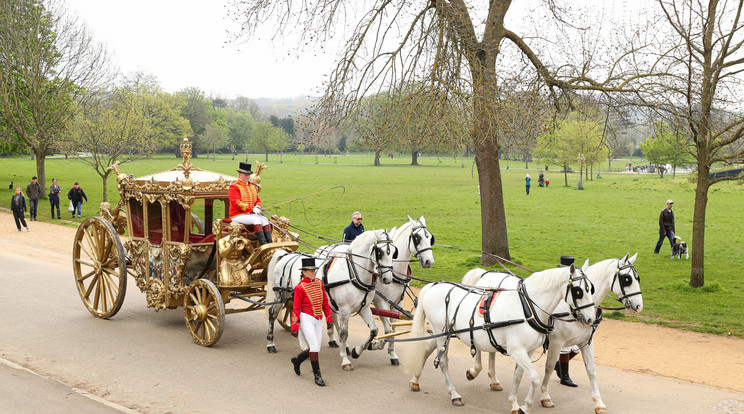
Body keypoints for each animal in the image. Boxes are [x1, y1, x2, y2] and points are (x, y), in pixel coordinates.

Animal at [374, 217, 438, 366]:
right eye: (417, 238)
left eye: (430, 237)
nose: (429, 261)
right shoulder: (381, 302)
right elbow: (388, 329)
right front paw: (377, 344)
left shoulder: (398, 303)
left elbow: (393, 329)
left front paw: (392, 354)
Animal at [404, 264, 596, 412]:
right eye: (578, 291)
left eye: (591, 288)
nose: (590, 319)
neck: (527, 308)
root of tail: (433, 285)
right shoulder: (517, 350)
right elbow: (534, 377)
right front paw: (526, 406)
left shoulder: (528, 351)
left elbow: (518, 376)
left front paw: (514, 403)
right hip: (441, 333)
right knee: (443, 361)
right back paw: (454, 394)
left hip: (445, 333)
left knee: (427, 348)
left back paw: (415, 380)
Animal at [462, 254, 644, 412]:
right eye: (627, 279)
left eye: (638, 278)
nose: (639, 306)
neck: (571, 308)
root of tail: (487, 273)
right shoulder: (557, 342)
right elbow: (548, 367)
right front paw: (545, 396)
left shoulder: (585, 342)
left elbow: (591, 370)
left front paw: (598, 403)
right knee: (478, 346)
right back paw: (475, 370)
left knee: (492, 350)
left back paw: (493, 379)